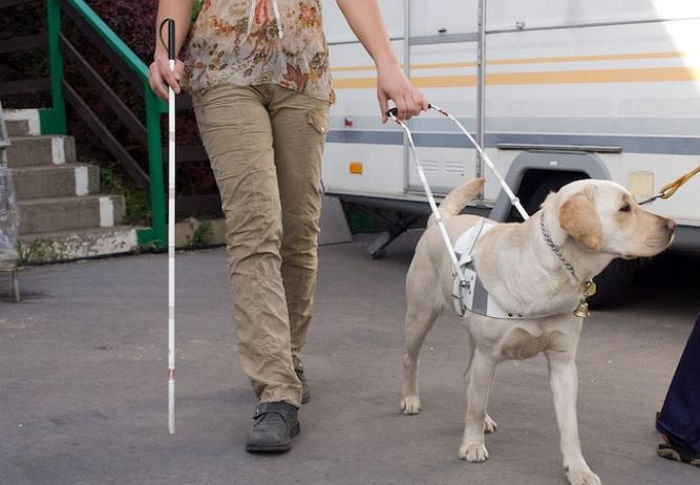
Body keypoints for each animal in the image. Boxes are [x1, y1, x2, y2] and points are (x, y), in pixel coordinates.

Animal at [402, 178, 676, 484]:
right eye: (624, 208)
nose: (673, 225)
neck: (551, 273)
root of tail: (441, 219)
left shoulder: (564, 363)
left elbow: (570, 426)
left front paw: (578, 468)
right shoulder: (488, 354)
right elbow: (474, 408)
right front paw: (471, 445)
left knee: (469, 378)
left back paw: (485, 418)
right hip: (420, 316)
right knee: (412, 360)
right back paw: (410, 399)